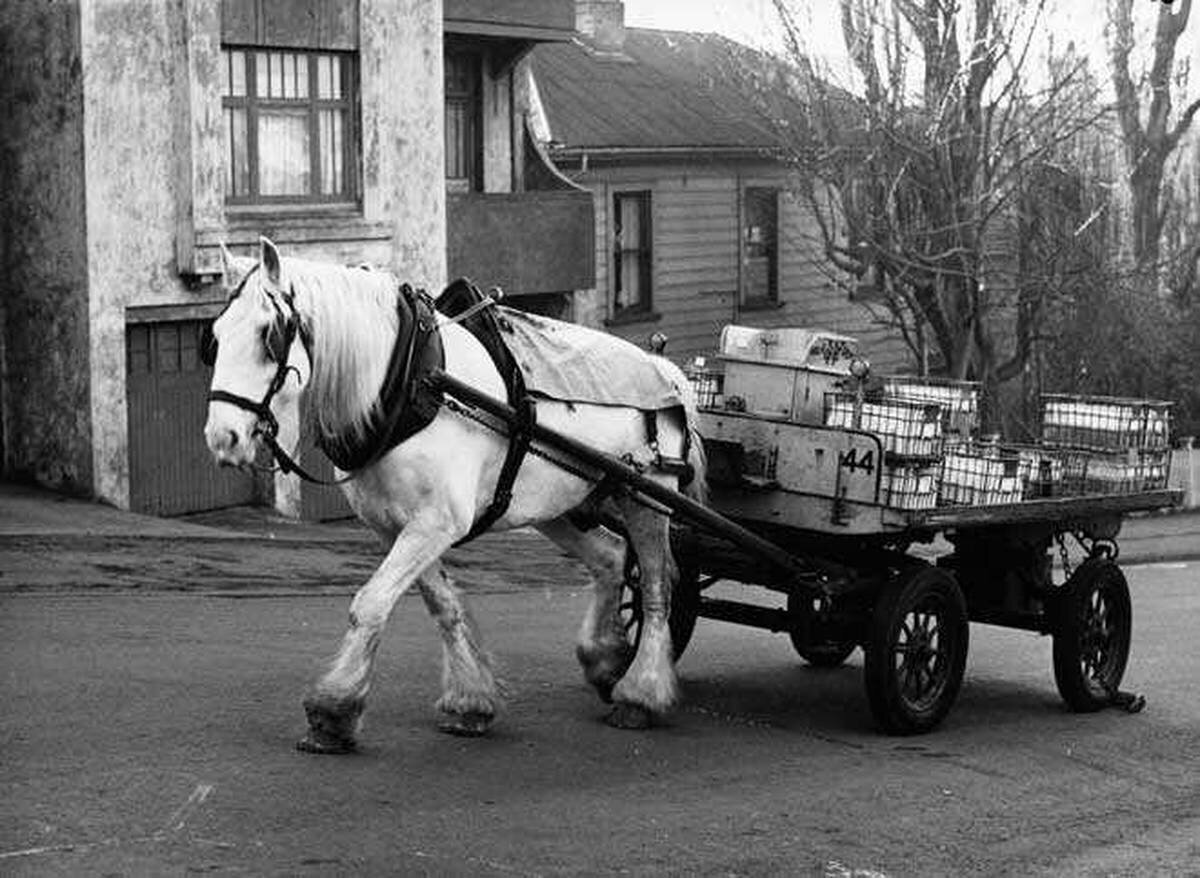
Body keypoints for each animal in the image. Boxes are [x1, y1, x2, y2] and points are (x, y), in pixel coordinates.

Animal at [202, 239, 705, 753]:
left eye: (269, 335)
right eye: (215, 336)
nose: (223, 437)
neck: (413, 381)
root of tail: (667, 370)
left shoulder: (437, 521)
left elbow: (370, 603)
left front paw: (332, 710)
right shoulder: (396, 526)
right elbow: (442, 605)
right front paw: (470, 701)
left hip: (647, 500)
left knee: (658, 586)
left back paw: (641, 693)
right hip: (556, 503)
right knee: (610, 558)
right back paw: (605, 659)